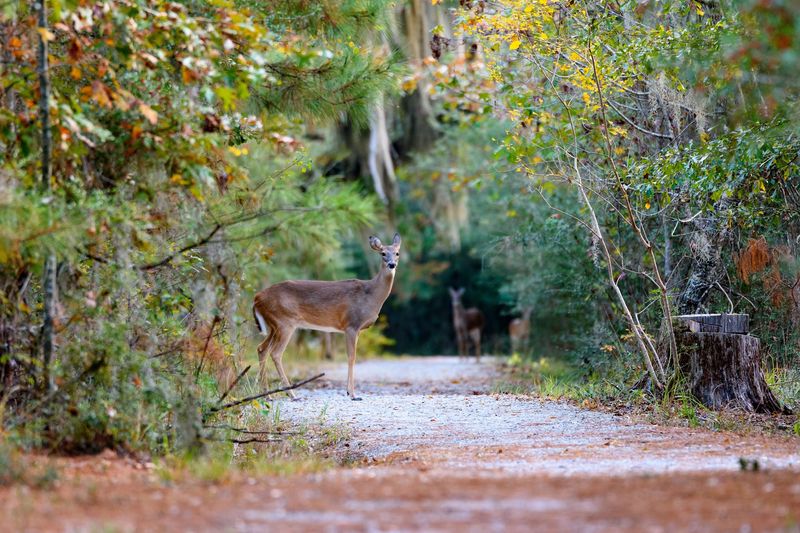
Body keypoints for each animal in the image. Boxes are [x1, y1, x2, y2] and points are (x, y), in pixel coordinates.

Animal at [252, 233, 401, 401]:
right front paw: (353, 394)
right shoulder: (351, 324)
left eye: (397, 253)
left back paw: (267, 396)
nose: (392, 264)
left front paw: (348, 391)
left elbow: (351, 357)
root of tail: (257, 297)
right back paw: (291, 394)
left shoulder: (355, 329)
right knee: (276, 353)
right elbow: (351, 357)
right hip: (285, 322)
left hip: (274, 326)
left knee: (262, 349)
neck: (371, 295)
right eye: (383, 253)